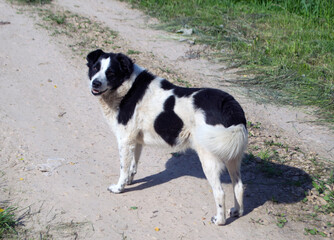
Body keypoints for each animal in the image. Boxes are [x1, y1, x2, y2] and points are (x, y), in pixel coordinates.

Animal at [86, 48, 248, 225]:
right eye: (95, 68)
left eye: (111, 73)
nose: (95, 83)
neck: (127, 88)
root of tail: (229, 105)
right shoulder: (136, 140)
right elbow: (133, 165)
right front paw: (130, 180)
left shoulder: (125, 140)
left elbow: (123, 168)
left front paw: (119, 188)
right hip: (232, 156)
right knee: (238, 186)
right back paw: (237, 211)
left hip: (208, 158)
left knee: (220, 192)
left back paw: (219, 220)